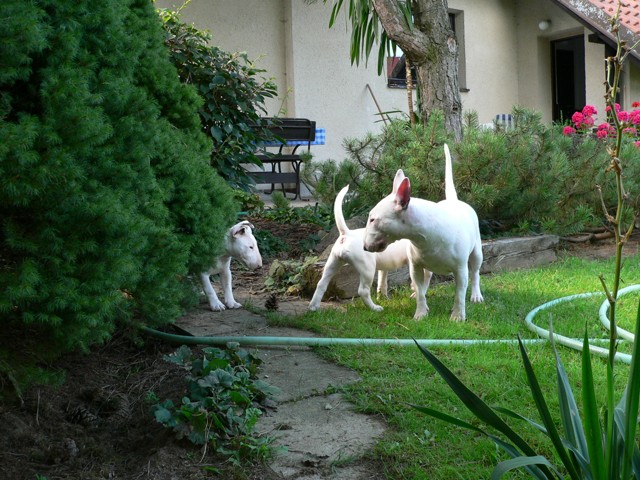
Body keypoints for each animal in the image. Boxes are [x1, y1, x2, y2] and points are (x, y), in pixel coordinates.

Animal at [363, 144, 484, 321]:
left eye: (373, 220)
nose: (364, 247)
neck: (427, 233)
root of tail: (454, 200)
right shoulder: (415, 266)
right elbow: (420, 290)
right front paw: (420, 313)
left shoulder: (461, 270)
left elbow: (459, 294)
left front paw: (457, 316)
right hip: (425, 264)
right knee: (426, 278)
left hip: (476, 252)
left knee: (475, 273)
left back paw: (476, 295)